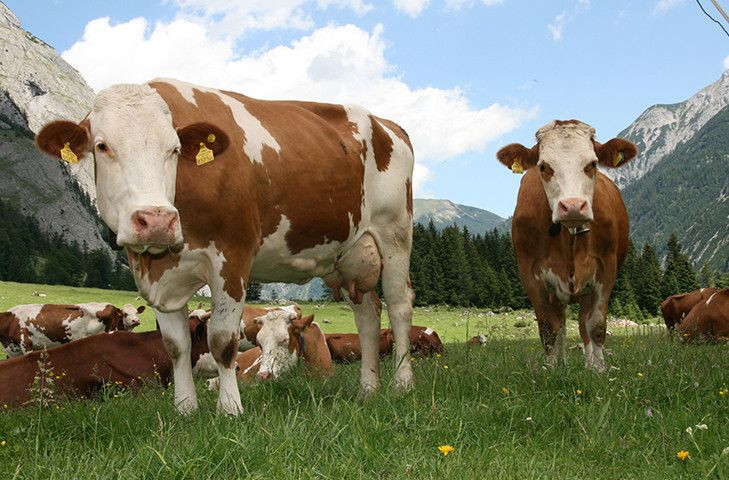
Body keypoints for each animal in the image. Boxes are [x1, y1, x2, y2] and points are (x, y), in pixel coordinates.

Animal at [0, 304, 145, 356]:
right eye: (126, 314)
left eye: (136, 313)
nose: (136, 320)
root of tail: (112, 307)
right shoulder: (14, 350)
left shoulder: (26, 344)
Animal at [35, 79, 416, 416]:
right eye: (102, 146)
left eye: (174, 149)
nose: (156, 219)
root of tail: (387, 125)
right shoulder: (159, 274)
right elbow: (175, 346)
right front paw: (185, 410)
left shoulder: (231, 260)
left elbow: (221, 341)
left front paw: (230, 409)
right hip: (352, 253)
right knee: (367, 314)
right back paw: (368, 390)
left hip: (395, 233)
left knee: (399, 305)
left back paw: (402, 384)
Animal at [494, 120, 636, 372]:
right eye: (543, 166)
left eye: (592, 164)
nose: (572, 206)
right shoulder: (530, 274)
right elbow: (548, 328)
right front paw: (551, 369)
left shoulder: (606, 269)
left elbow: (596, 326)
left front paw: (599, 369)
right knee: (559, 324)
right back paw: (562, 362)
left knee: (582, 325)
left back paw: (589, 364)